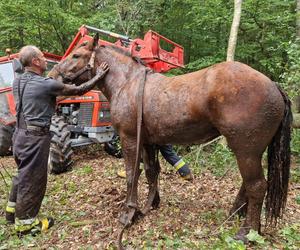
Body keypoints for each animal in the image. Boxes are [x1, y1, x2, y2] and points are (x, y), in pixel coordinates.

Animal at [48, 36, 290, 241]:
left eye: (76, 55)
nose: (51, 78)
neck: (127, 83)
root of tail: (274, 85)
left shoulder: (129, 139)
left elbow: (132, 174)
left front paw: (129, 214)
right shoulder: (148, 142)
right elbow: (151, 172)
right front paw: (150, 205)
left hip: (245, 150)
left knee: (257, 186)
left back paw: (246, 232)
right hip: (251, 151)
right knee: (248, 185)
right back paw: (235, 214)